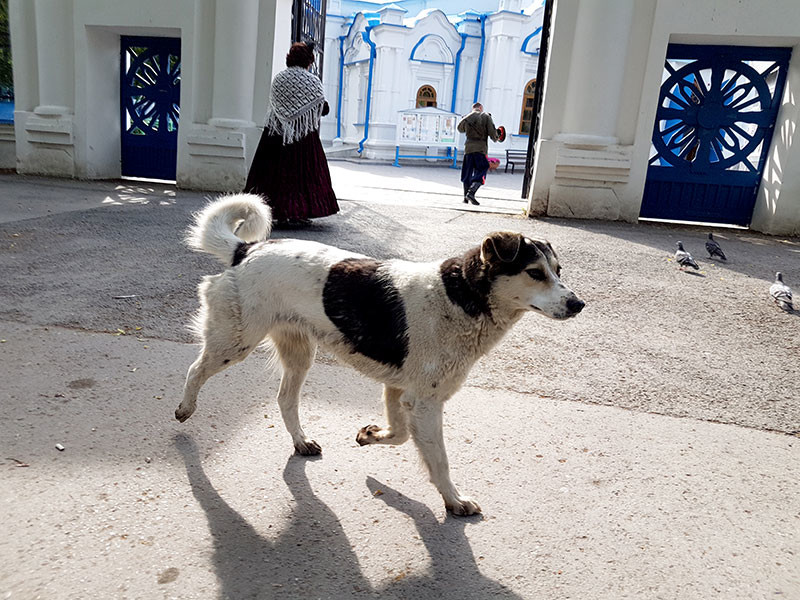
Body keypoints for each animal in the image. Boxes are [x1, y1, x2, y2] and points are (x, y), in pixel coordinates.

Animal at [175, 195, 584, 512]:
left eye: (558, 270)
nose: (578, 304)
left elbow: (399, 435)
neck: (460, 296)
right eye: (534, 273)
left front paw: (370, 436)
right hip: (235, 341)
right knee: (195, 369)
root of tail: (246, 249)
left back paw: (301, 441)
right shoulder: (425, 403)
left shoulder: (400, 392)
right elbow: (439, 461)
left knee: (284, 399)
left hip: (299, 352)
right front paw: (453, 501)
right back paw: (185, 408)